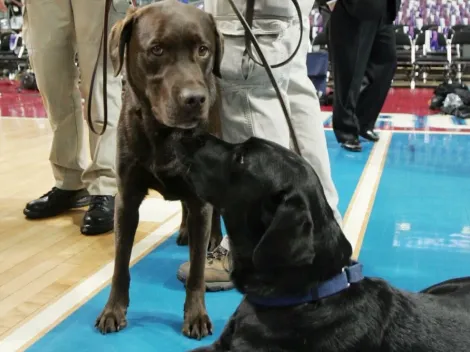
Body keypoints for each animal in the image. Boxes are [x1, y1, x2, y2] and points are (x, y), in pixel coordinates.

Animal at [95, 1, 224, 340]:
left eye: (203, 50)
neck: (165, 134)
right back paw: (183, 230)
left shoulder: (201, 198)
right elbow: (120, 264)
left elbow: (196, 270)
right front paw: (113, 310)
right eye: (156, 49)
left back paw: (213, 238)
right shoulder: (126, 200)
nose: (195, 99)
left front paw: (196, 316)